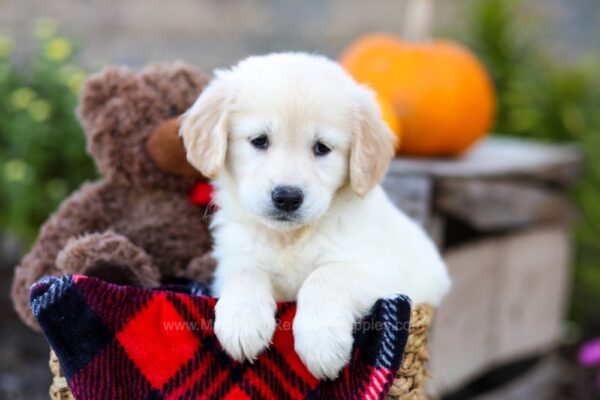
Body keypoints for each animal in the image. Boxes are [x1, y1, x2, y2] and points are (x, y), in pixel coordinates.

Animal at [179, 54, 450, 382]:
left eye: (322, 148)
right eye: (259, 141)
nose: (287, 197)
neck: (289, 237)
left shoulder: (387, 277)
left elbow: (326, 275)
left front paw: (321, 344)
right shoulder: (230, 263)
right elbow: (246, 272)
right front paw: (242, 322)